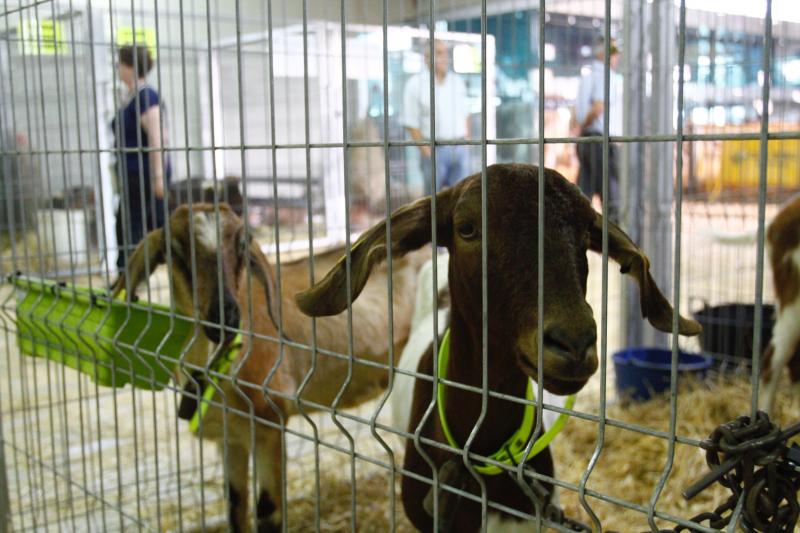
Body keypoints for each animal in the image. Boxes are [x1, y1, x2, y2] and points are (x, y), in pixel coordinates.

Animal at [113, 204, 428, 532]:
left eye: (241, 247)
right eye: (174, 251)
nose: (226, 315)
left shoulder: (268, 420)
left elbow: (267, 512)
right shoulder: (230, 436)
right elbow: (235, 505)